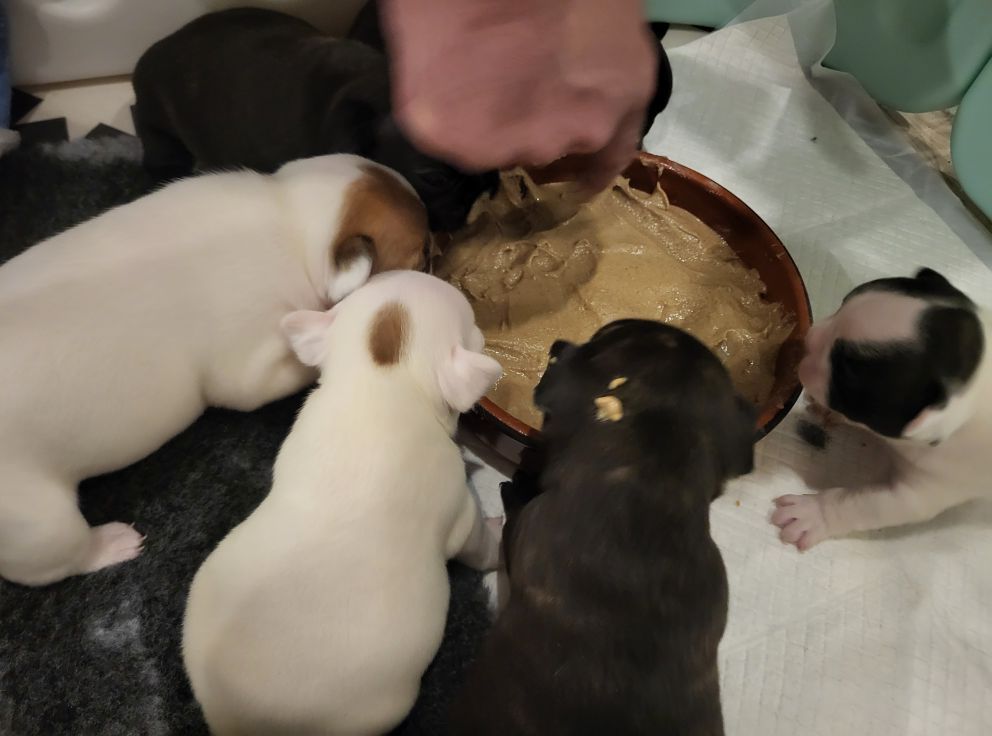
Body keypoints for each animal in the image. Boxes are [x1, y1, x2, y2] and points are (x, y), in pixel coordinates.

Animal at [0, 155, 426, 588]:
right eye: (422, 254)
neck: (294, 221)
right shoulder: (249, 368)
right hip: (38, 519)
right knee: (54, 561)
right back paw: (110, 544)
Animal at [182, 270, 504, 736]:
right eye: (476, 330)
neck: (379, 384)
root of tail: (238, 723)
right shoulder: (459, 508)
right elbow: (478, 542)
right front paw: (500, 535)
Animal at [776, 268, 992, 548]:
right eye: (842, 303)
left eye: (845, 373)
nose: (810, 338)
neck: (974, 378)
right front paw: (829, 412)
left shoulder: (921, 492)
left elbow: (859, 505)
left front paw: (813, 514)